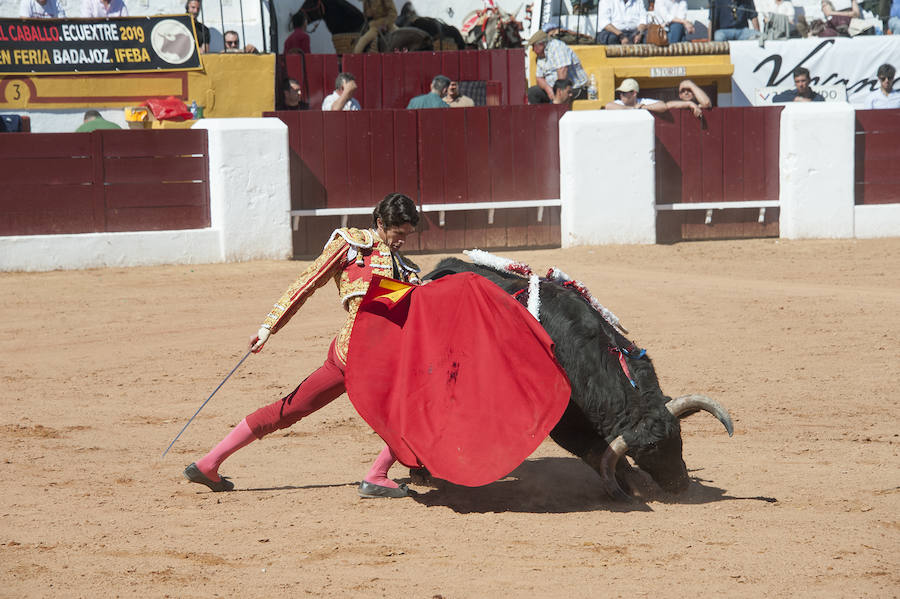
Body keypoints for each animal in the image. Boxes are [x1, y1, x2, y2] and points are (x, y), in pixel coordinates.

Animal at [422, 258, 732, 502]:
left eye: (678, 436)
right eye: (644, 452)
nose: (679, 485)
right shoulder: (565, 424)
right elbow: (597, 452)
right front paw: (633, 485)